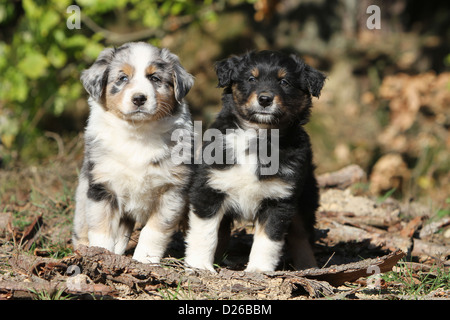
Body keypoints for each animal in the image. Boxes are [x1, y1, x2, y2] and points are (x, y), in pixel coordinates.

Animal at [185, 51, 326, 272]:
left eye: (284, 82)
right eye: (251, 79)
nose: (265, 99)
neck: (257, 138)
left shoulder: (279, 199)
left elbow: (268, 238)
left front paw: (259, 269)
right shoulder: (210, 188)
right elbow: (205, 232)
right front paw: (200, 265)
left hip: (305, 197)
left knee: (301, 236)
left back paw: (308, 268)